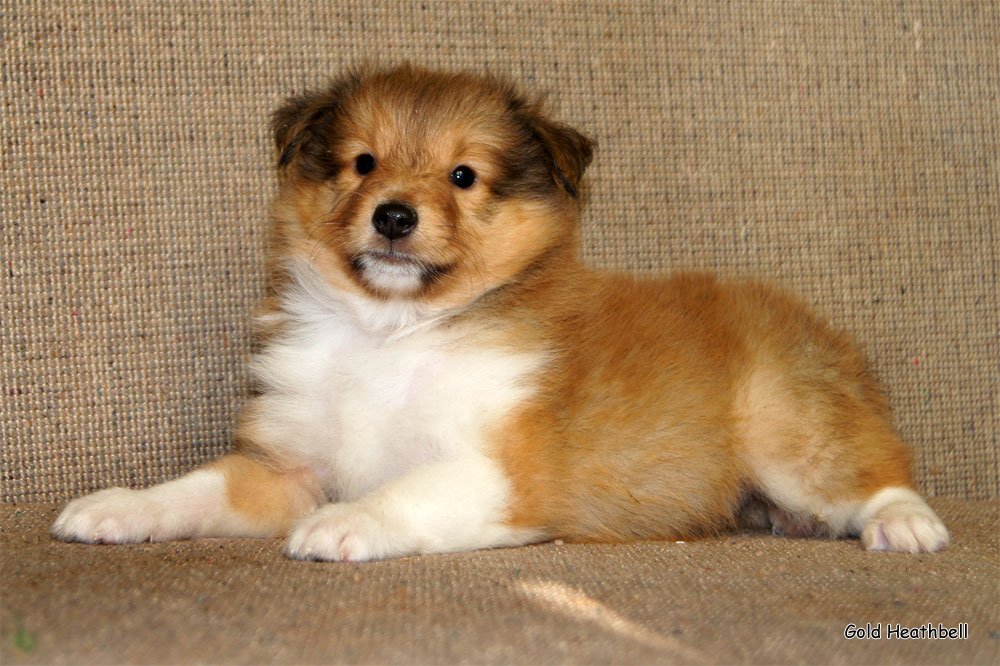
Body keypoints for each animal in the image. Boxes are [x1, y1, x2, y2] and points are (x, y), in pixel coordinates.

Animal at [50, 65, 948, 556]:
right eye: (362, 163)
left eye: (464, 176)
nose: (394, 217)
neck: (391, 334)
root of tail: (826, 335)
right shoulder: (286, 467)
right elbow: (196, 488)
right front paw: (117, 507)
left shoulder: (501, 471)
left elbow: (404, 491)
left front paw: (346, 525)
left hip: (786, 432)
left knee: (878, 471)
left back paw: (905, 527)